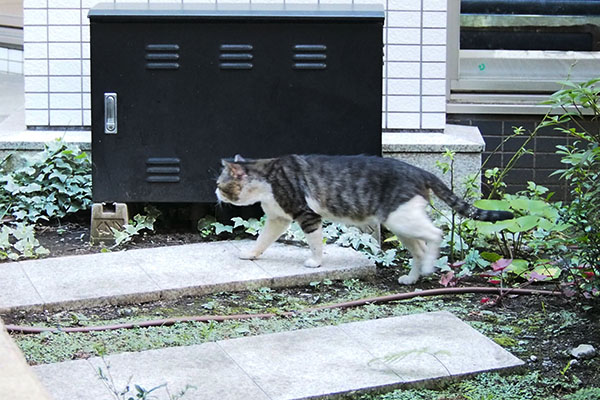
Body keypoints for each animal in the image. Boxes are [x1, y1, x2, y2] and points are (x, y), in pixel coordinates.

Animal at [213, 153, 512, 284]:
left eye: (219, 184)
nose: (214, 192)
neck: (267, 177)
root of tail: (420, 172)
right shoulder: (278, 219)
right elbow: (262, 240)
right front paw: (250, 254)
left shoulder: (307, 215)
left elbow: (315, 243)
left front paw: (315, 262)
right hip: (400, 225)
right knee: (419, 248)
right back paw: (412, 279)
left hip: (402, 220)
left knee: (435, 234)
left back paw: (428, 268)